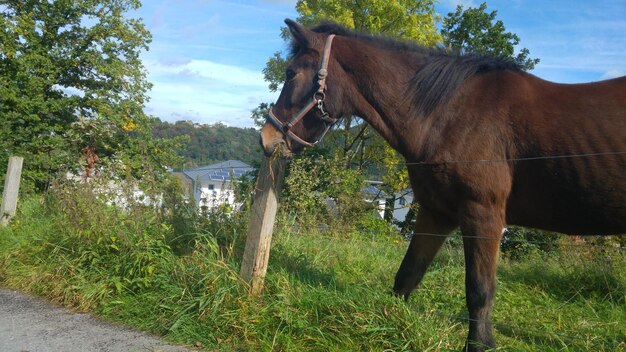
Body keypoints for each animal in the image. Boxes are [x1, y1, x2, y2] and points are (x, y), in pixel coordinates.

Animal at [258, 20, 624, 352]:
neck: (449, 114)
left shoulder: (482, 214)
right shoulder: (436, 212)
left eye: (291, 73)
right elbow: (407, 275)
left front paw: (480, 345)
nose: (267, 138)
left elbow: (479, 289)